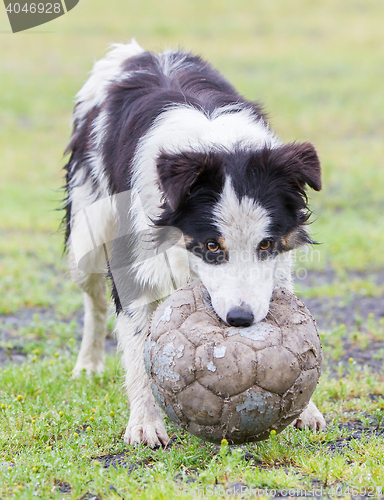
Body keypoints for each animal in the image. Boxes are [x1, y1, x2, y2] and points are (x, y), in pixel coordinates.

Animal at [64, 39, 326, 446]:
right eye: (212, 246)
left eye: (265, 245)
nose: (240, 320)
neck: (215, 144)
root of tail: (134, 51)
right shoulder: (133, 255)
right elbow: (136, 340)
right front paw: (145, 424)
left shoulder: (276, 265)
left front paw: (306, 410)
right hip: (85, 232)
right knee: (94, 298)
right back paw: (88, 364)